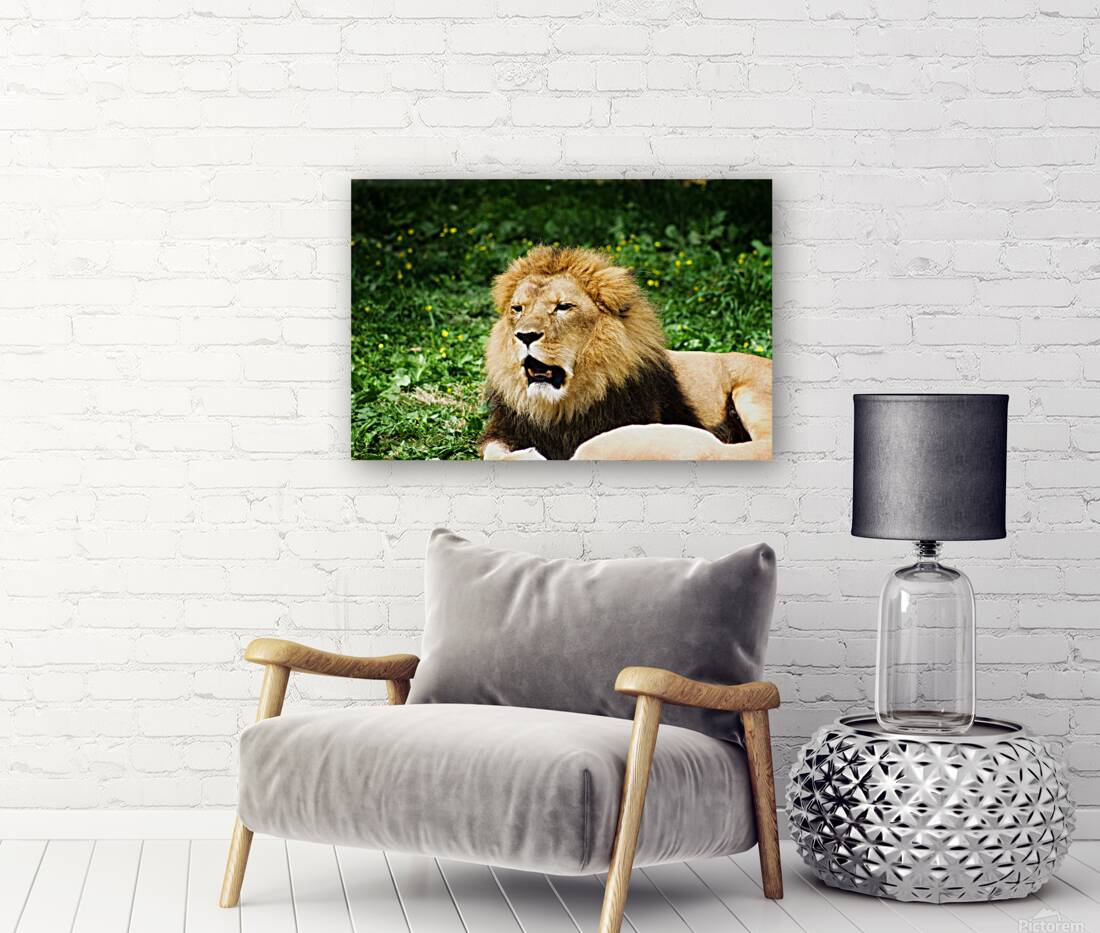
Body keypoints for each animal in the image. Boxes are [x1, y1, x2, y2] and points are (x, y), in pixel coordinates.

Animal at [479, 246, 772, 462]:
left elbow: (591, 446)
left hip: (752, 392)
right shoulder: (507, 428)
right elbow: (491, 451)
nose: (525, 336)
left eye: (563, 307)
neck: (561, 406)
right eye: (518, 309)